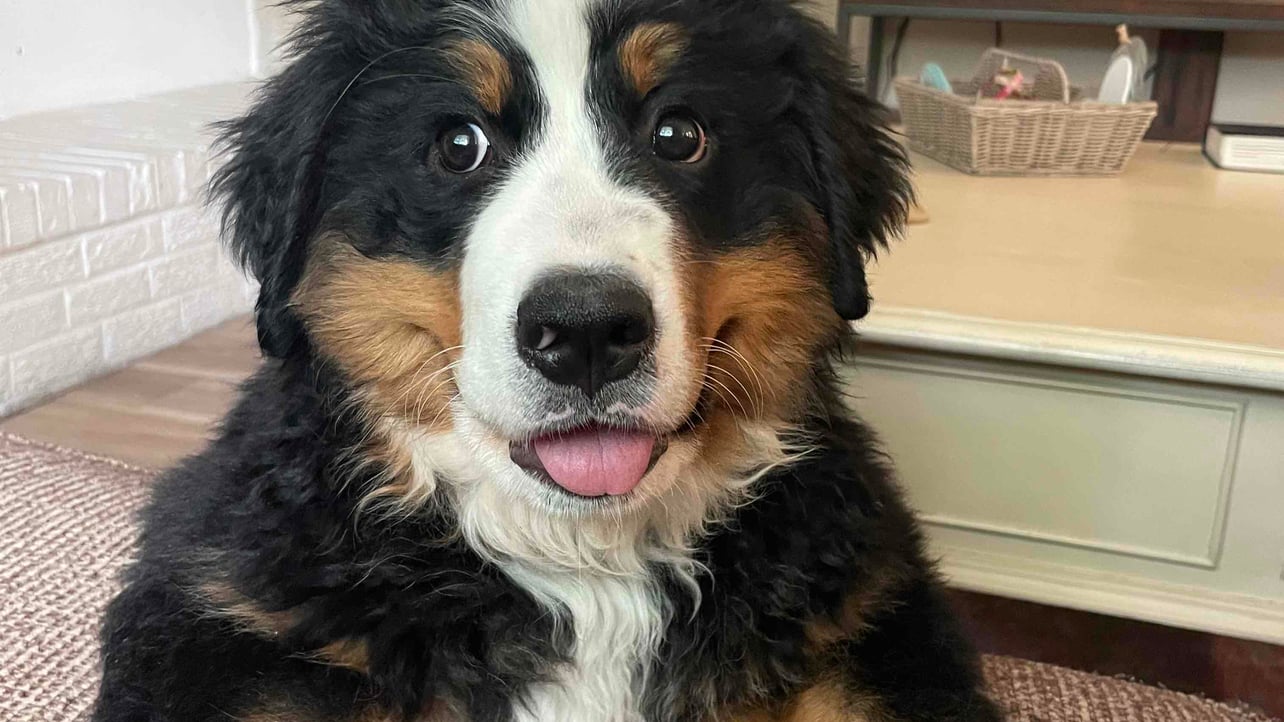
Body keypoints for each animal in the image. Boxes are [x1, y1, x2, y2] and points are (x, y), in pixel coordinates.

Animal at [93, 1, 1002, 720]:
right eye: (459, 144)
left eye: (679, 134)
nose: (586, 330)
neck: (585, 568)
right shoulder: (224, 611)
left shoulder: (872, 618)